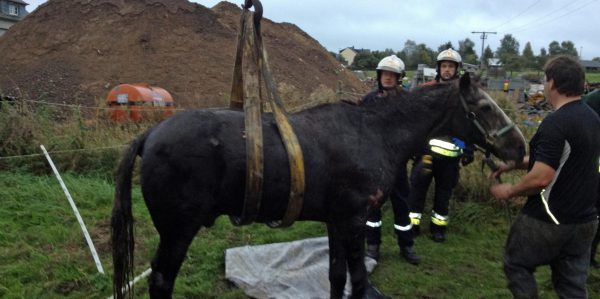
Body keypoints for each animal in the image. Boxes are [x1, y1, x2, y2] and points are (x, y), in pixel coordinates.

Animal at [111, 73, 524, 299]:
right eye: (485, 108)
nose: (520, 149)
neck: (373, 132)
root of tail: (150, 133)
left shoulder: (337, 222)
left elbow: (336, 276)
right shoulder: (355, 221)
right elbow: (358, 279)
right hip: (178, 231)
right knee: (161, 280)